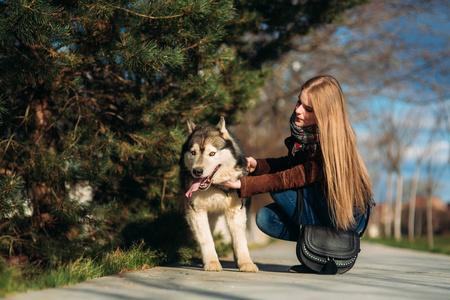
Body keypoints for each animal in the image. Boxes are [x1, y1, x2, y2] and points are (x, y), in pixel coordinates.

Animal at [178, 116, 258, 272]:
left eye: (212, 153)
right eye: (193, 153)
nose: (197, 171)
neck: (214, 187)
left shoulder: (236, 211)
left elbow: (240, 241)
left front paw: (246, 263)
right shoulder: (196, 211)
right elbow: (206, 239)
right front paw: (211, 262)